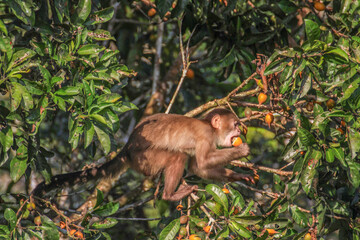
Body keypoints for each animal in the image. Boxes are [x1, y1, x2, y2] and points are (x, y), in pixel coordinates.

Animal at [33, 107, 253, 206]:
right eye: (235, 124)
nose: (239, 132)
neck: (209, 127)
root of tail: (127, 148)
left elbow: (198, 167)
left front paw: (239, 176)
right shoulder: (205, 135)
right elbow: (203, 161)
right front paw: (242, 151)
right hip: (144, 158)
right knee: (176, 156)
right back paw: (170, 195)